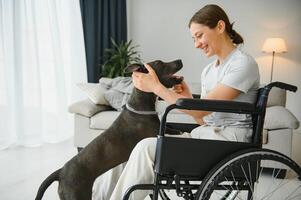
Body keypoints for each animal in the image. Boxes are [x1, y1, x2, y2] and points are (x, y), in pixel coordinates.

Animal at [35, 58, 183, 199]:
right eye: (159, 63)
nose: (180, 60)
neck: (141, 103)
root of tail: (61, 172)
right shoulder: (153, 133)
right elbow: (168, 131)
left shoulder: (161, 126)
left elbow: (169, 126)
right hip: (77, 194)